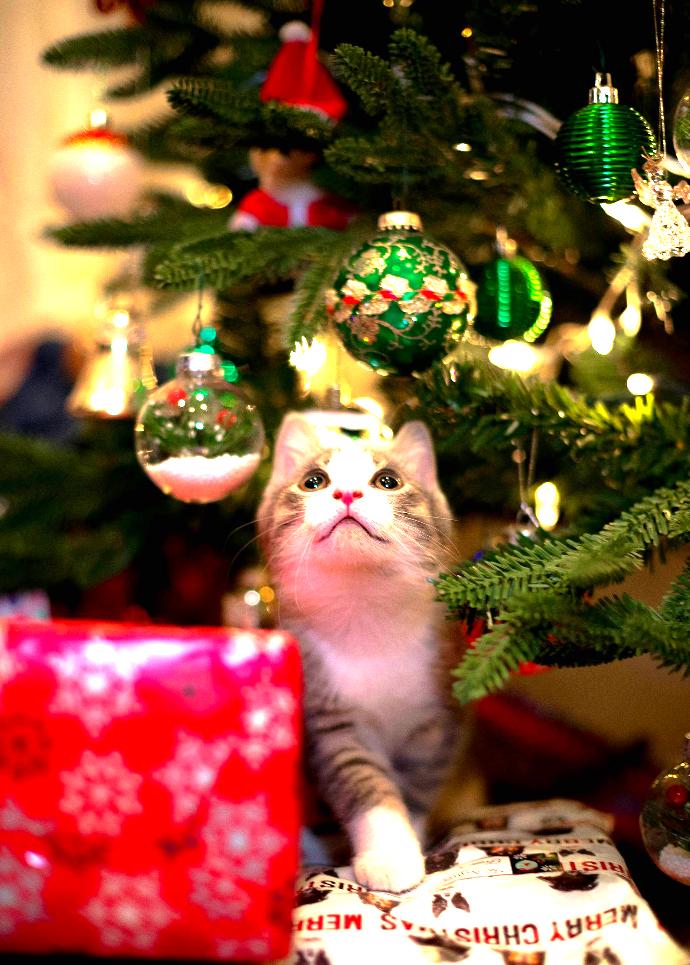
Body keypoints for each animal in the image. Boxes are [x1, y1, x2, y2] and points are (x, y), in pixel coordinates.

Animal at [254, 410, 462, 892]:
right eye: (313, 480)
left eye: (388, 480)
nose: (346, 493)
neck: (365, 612)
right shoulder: (329, 719)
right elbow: (361, 778)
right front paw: (389, 851)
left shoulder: (438, 719)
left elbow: (418, 785)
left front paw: (411, 837)